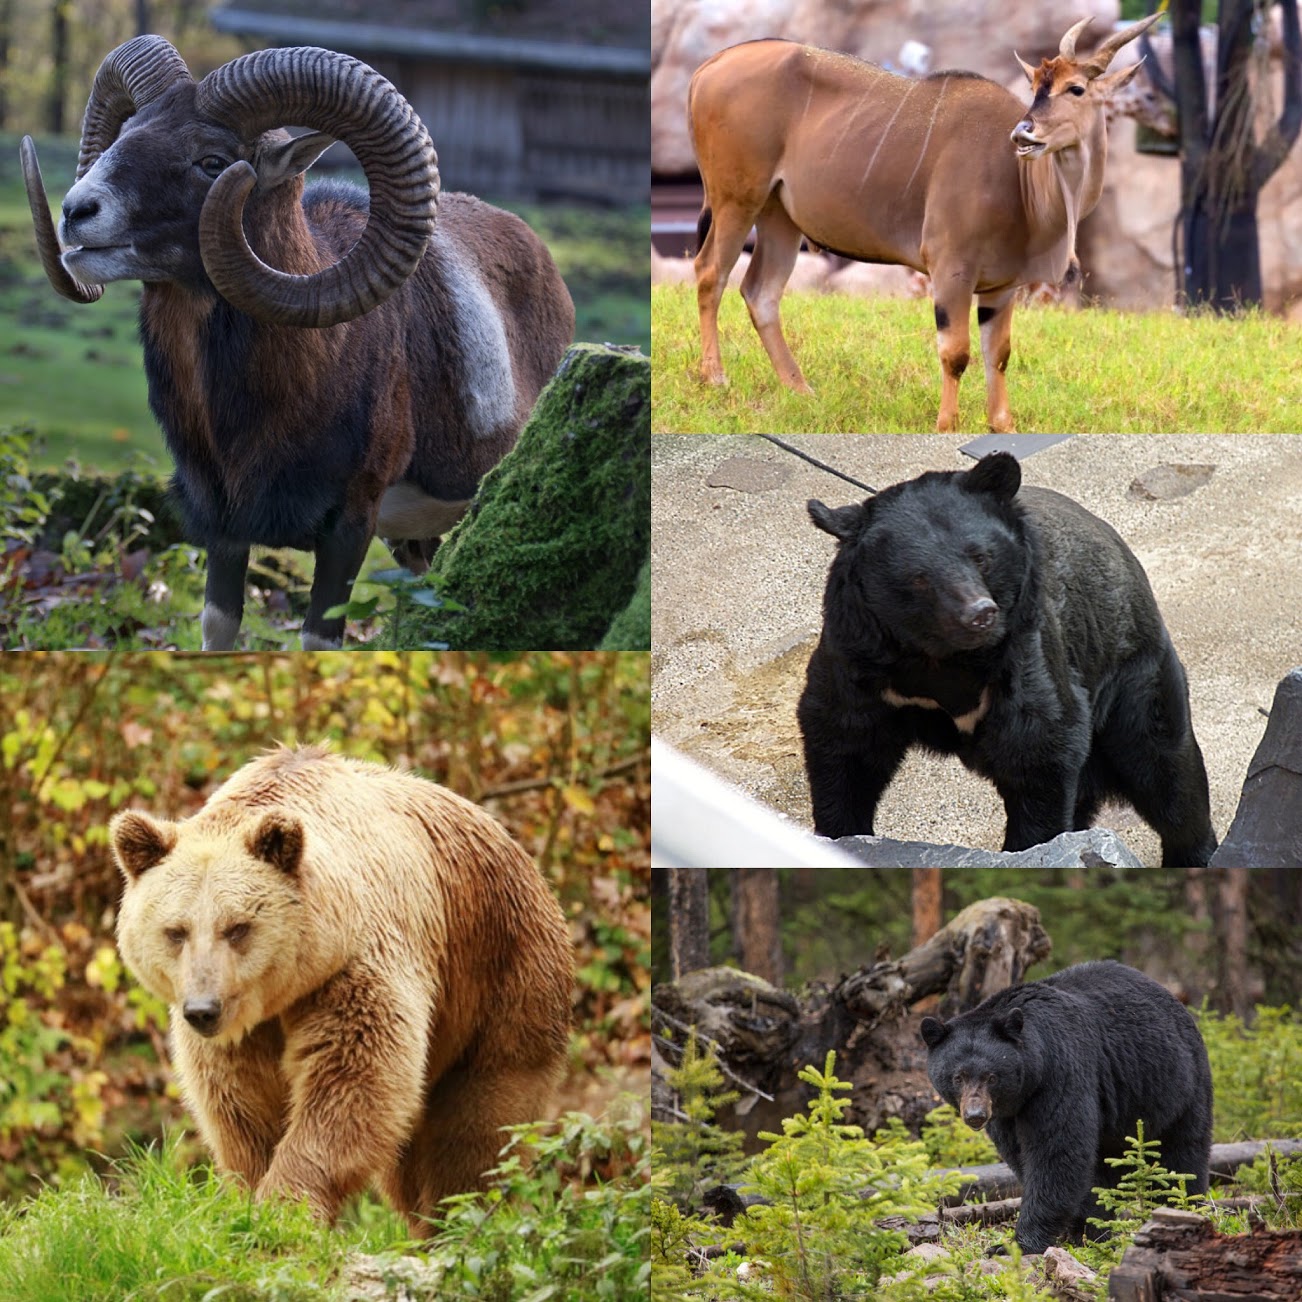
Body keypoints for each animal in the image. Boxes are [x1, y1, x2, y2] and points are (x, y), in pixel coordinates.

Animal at [109, 749, 578, 1223]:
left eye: (237, 927)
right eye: (176, 931)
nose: (203, 1009)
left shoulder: (353, 967)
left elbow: (354, 1080)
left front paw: (287, 1204)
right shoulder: (244, 1032)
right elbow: (243, 1104)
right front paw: (251, 1195)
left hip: (499, 975)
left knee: (481, 1123)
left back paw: (458, 1216)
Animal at [692, 13, 1161, 432]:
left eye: (1076, 88)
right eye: (1036, 88)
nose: (1024, 133)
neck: (1021, 186)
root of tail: (708, 67)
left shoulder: (1002, 286)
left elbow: (998, 353)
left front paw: (1001, 425)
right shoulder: (950, 269)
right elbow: (956, 352)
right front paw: (946, 425)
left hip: (779, 216)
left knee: (761, 292)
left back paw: (801, 390)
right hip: (737, 199)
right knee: (710, 272)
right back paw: (715, 377)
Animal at [796, 453, 1213, 869]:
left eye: (981, 556)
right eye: (919, 577)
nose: (979, 614)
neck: (940, 656)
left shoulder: (1022, 652)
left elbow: (1039, 746)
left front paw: (1027, 848)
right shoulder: (858, 657)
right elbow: (844, 743)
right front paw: (839, 833)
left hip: (1132, 672)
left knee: (1163, 769)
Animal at [921, 968, 1213, 1249]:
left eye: (991, 1076)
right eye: (958, 1077)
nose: (975, 1116)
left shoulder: (1060, 1072)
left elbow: (1057, 1151)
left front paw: (1019, 1243)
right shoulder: (1007, 1113)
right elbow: (1022, 1154)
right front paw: (1082, 1228)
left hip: (1178, 1085)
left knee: (1182, 1154)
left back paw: (1182, 1207)